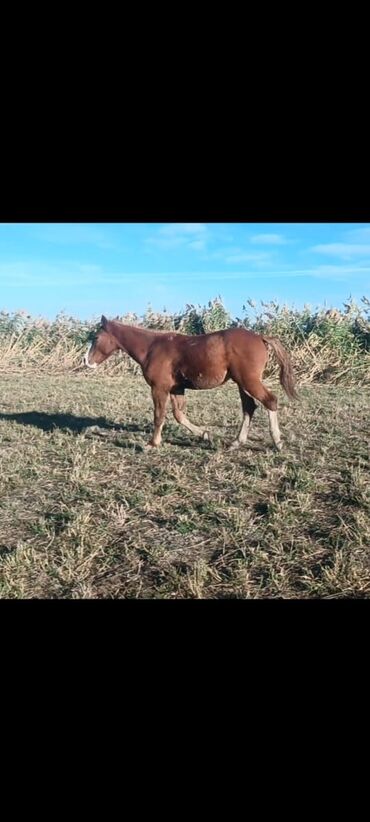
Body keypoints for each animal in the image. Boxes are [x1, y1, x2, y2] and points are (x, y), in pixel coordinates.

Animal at [84, 318, 298, 454]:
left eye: (96, 338)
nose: (87, 361)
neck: (153, 347)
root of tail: (260, 337)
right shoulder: (176, 389)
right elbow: (179, 415)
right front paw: (205, 434)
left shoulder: (159, 388)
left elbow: (159, 416)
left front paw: (152, 444)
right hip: (242, 383)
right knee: (249, 407)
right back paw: (236, 443)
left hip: (248, 381)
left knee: (270, 401)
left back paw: (277, 443)